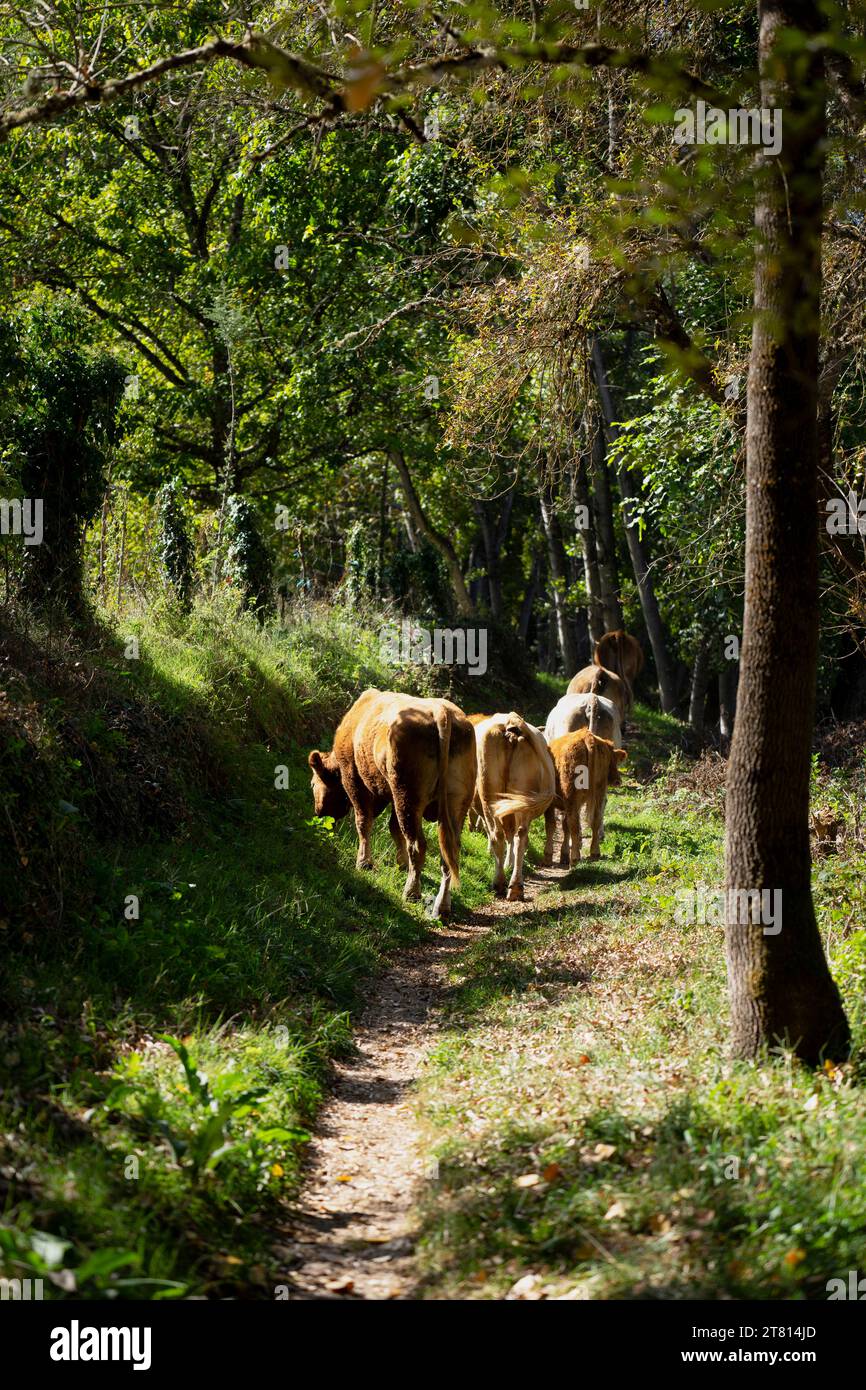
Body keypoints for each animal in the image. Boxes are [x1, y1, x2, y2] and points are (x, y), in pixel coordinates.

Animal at [308, 689, 476, 920]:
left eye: (312, 783)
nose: (318, 812)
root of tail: (442, 711)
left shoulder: (354, 781)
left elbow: (363, 822)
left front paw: (364, 862)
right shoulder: (392, 795)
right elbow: (394, 829)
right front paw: (401, 863)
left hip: (408, 797)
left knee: (418, 845)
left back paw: (411, 892)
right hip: (452, 805)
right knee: (449, 853)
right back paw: (442, 906)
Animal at [474, 713, 556, 901]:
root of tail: (510, 722)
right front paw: (508, 864)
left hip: (491, 799)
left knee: (500, 835)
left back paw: (502, 884)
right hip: (517, 799)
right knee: (517, 836)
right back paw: (514, 886)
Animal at [543, 730, 627, 866]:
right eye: (612, 760)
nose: (617, 781)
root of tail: (587, 737)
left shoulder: (552, 803)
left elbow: (551, 825)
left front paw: (548, 857)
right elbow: (564, 826)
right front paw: (564, 855)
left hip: (571, 795)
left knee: (574, 823)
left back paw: (575, 858)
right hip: (599, 793)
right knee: (596, 820)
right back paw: (595, 852)